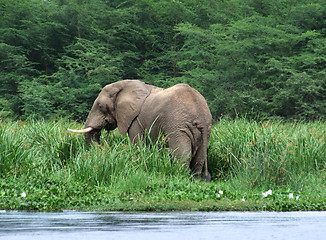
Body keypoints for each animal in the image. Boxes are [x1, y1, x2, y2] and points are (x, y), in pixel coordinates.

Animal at [67, 79, 213, 181]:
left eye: (100, 106)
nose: (104, 150)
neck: (124, 86)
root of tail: (200, 114)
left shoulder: (135, 121)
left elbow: (137, 144)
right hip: (206, 129)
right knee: (199, 157)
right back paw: (195, 180)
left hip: (177, 125)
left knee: (182, 155)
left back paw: (181, 178)